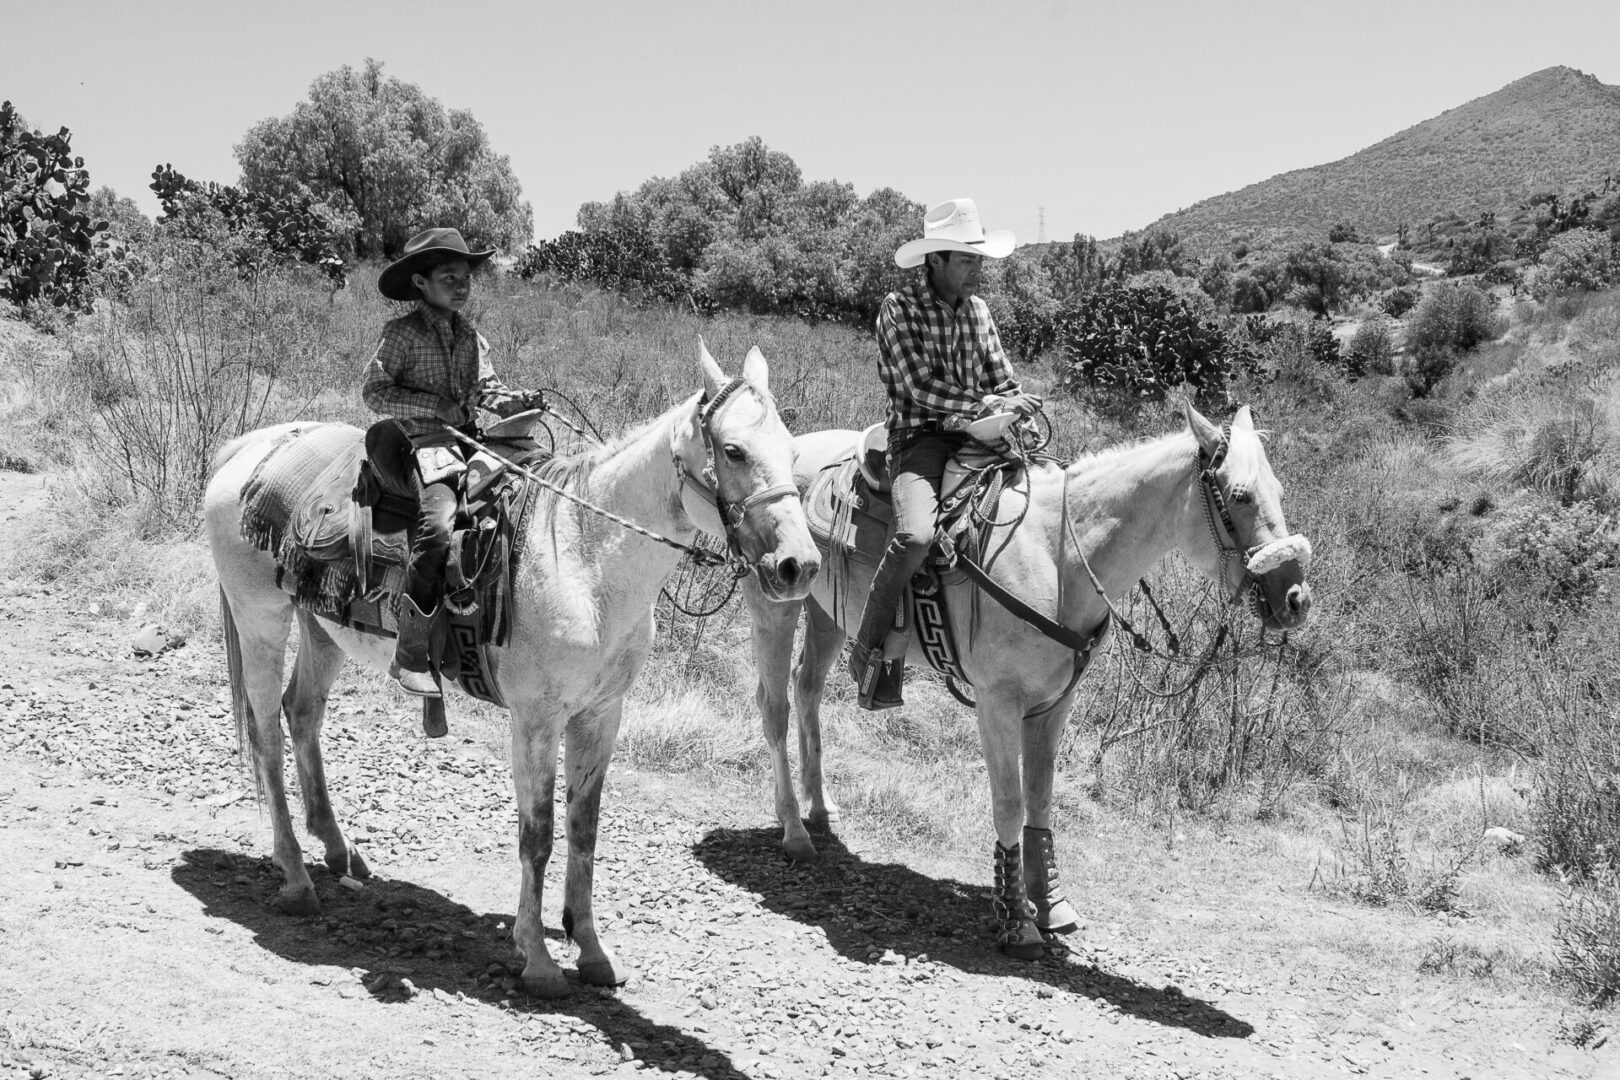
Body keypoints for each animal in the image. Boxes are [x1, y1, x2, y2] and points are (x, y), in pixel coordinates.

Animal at [741, 401, 1308, 958]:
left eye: (1280, 492)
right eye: (1240, 496)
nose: (1296, 600)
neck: (1059, 557)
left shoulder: (1054, 704)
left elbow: (1040, 797)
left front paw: (1050, 902)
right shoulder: (998, 702)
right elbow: (1010, 804)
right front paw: (1016, 920)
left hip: (829, 614)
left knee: (807, 687)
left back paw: (821, 808)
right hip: (777, 601)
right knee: (775, 704)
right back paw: (794, 831)